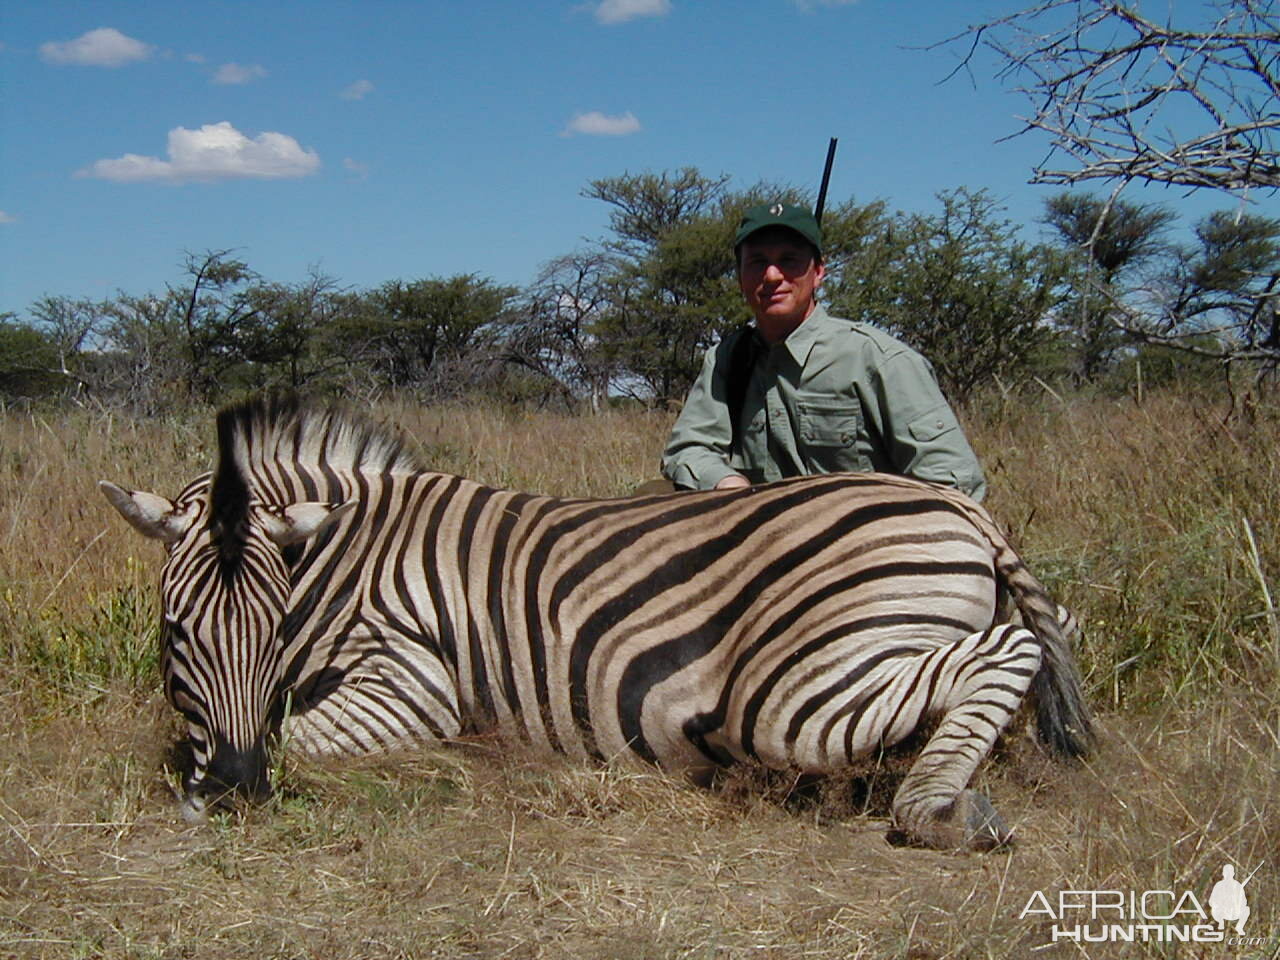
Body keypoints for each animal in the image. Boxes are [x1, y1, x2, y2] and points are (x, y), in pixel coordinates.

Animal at [104, 394, 1095, 855]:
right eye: (176, 632)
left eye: (271, 632)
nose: (232, 793)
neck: (348, 557)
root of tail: (959, 509)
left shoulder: (414, 679)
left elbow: (300, 736)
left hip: (788, 694)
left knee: (1005, 649)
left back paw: (940, 809)